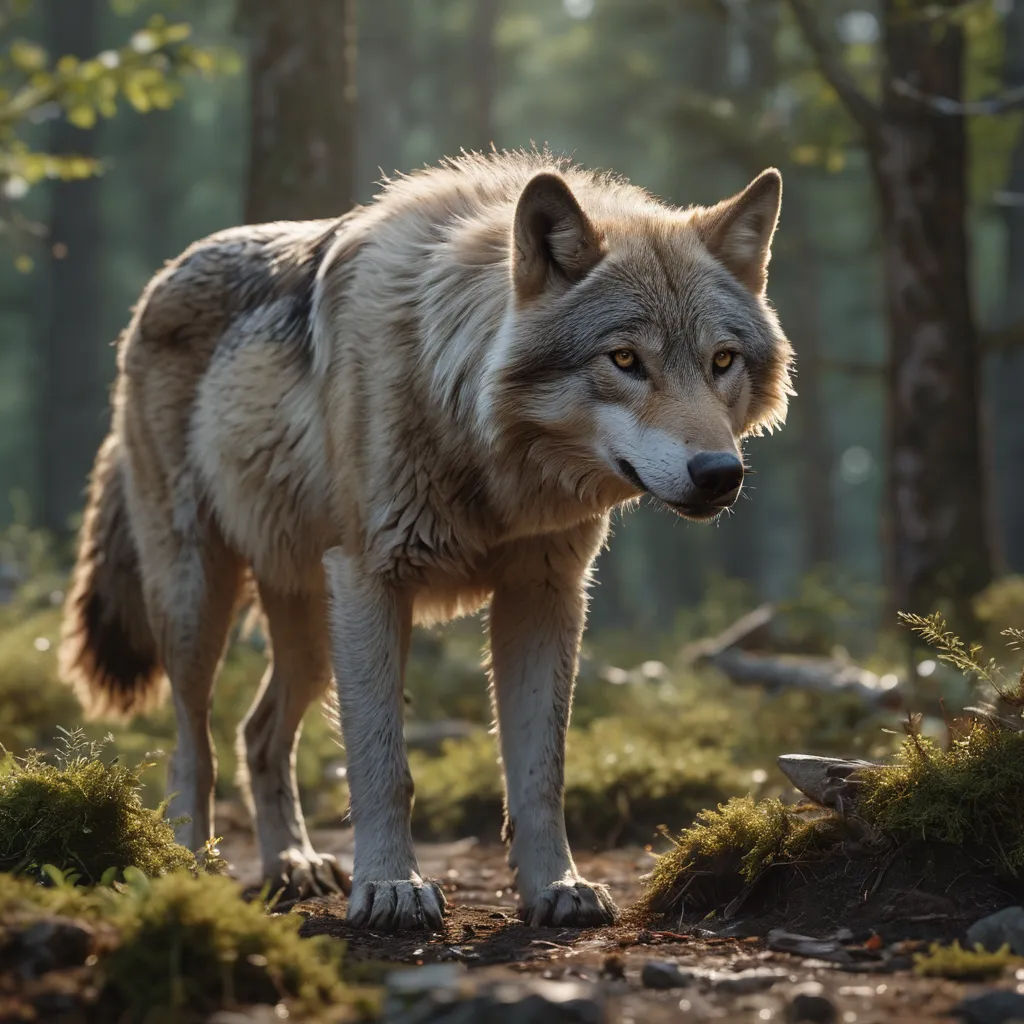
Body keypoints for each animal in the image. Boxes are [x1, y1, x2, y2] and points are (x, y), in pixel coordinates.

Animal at [58, 150, 792, 932]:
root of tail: (160, 279)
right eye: (625, 359)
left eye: (721, 361)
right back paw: (189, 868)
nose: (719, 474)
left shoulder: (545, 593)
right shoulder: (372, 581)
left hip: (313, 633)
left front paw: (557, 885)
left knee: (257, 734)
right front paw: (391, 886)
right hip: (202, 604)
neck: (479, 439)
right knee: (193, 747)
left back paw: (294, 864)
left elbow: (540, 770)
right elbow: (383, 765)